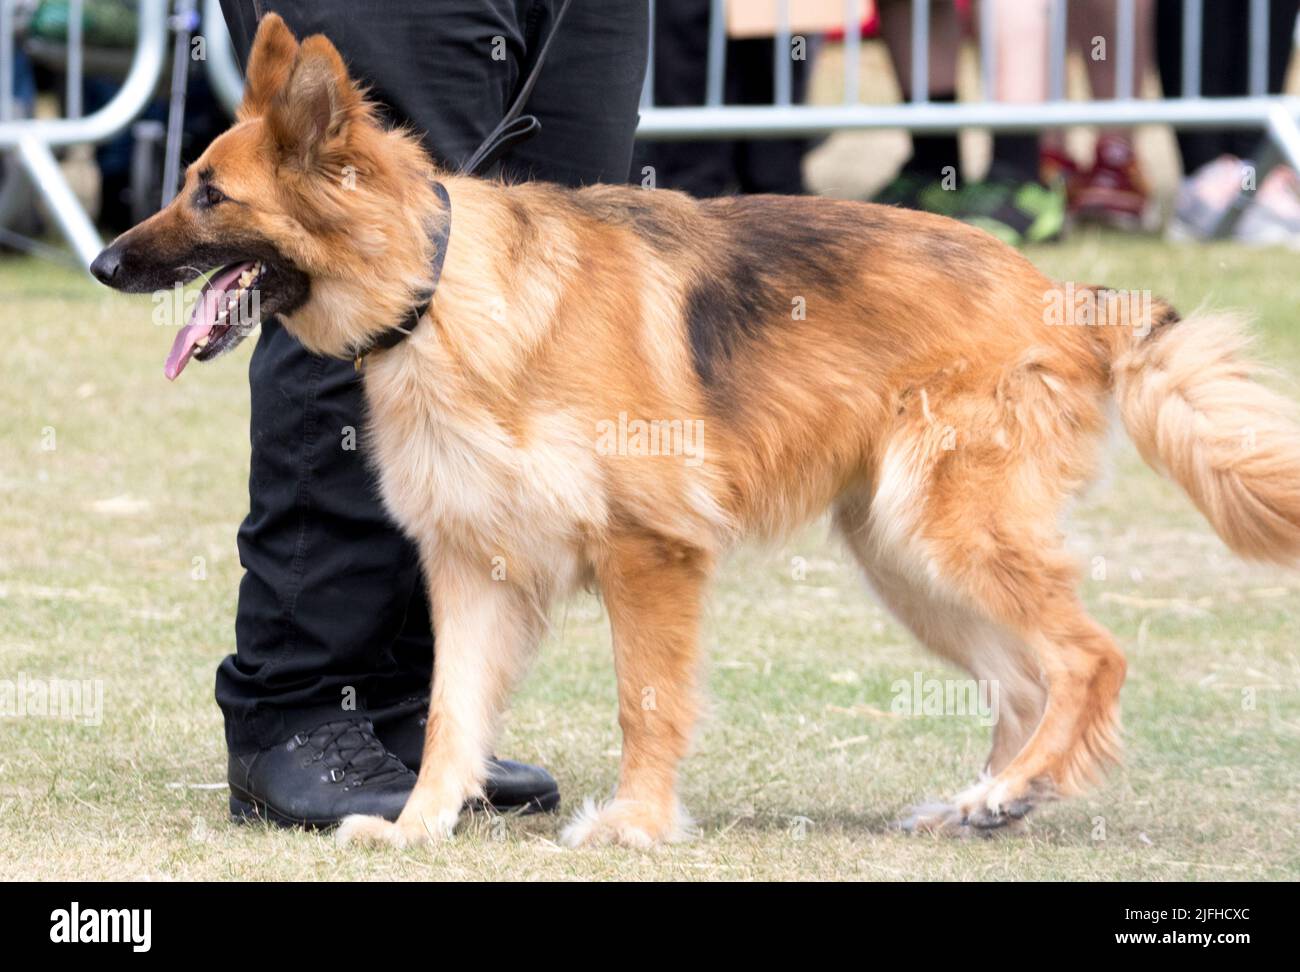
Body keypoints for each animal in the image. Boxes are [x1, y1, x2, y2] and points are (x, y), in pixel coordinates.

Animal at [94, 17, 1300, 852]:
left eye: (208, 196)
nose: (103, 263)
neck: (440, 292)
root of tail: (1066, 295)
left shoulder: (650, 553)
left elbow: (646, 700)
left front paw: (634, 824)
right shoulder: (474, 566)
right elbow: (449, 717)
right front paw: (420, 826)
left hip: (943, 533)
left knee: (1087, 657)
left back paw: (1012, 787)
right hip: (908, 556)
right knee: (1024, 677)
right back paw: (992, 800)